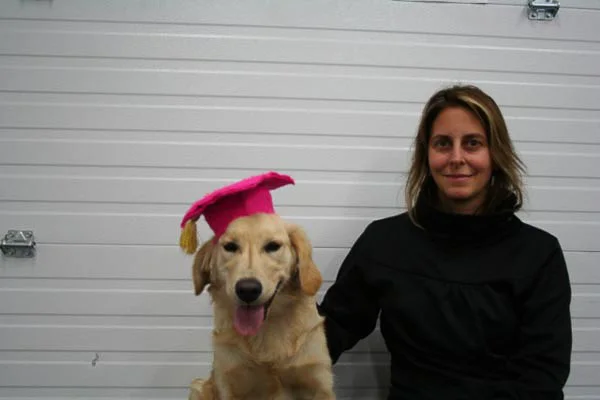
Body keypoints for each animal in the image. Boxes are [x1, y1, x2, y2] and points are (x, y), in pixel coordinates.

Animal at [187, 212, 335, 400]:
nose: (247, 290)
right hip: (198, 387)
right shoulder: (229, 381)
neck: (266, 329)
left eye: (273, 246)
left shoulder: (318, 382)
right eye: (230, 247)